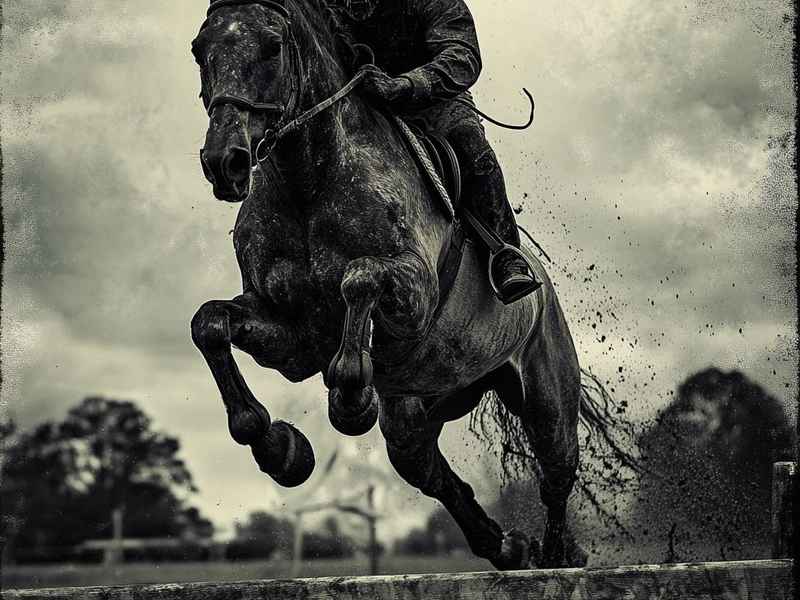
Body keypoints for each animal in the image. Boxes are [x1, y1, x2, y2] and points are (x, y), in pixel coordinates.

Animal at [191, 0, 592, 568]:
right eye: (200, 50)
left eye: (272, 46)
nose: (224, 162)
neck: (307, 179)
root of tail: (546, 291)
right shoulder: (292, 338)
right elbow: (209, 323)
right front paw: (282, 450)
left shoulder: (413, 290)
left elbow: (359, 278)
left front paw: (351, 399)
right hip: (414, 412)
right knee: (437, 477)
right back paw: (507, 546)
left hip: (548, 400)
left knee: (556, 475)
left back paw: (556, 556)